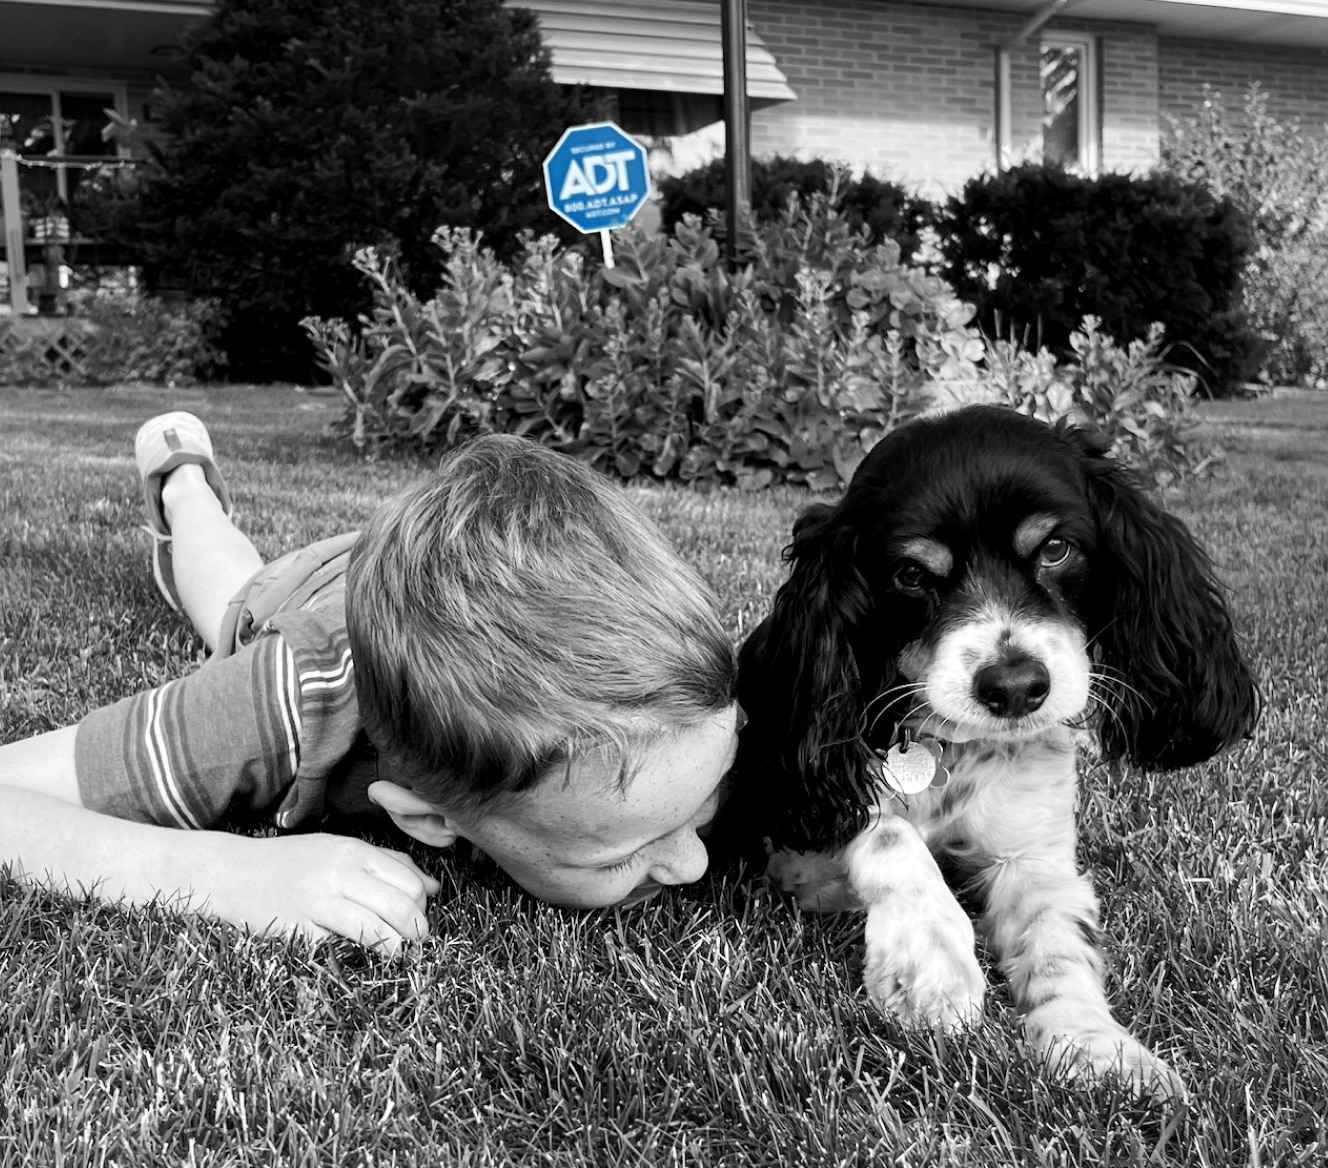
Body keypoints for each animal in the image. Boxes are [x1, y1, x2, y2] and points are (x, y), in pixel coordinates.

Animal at [727, 400, 1253, 1093]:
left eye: (1056, 548)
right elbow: (889, 834)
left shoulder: (1035, 853)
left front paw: (1096, 1046)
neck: (952, 753)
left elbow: (1058, 941)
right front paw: (931, 968)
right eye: (911, 574)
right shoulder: (803, 815)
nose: (1015, 687)